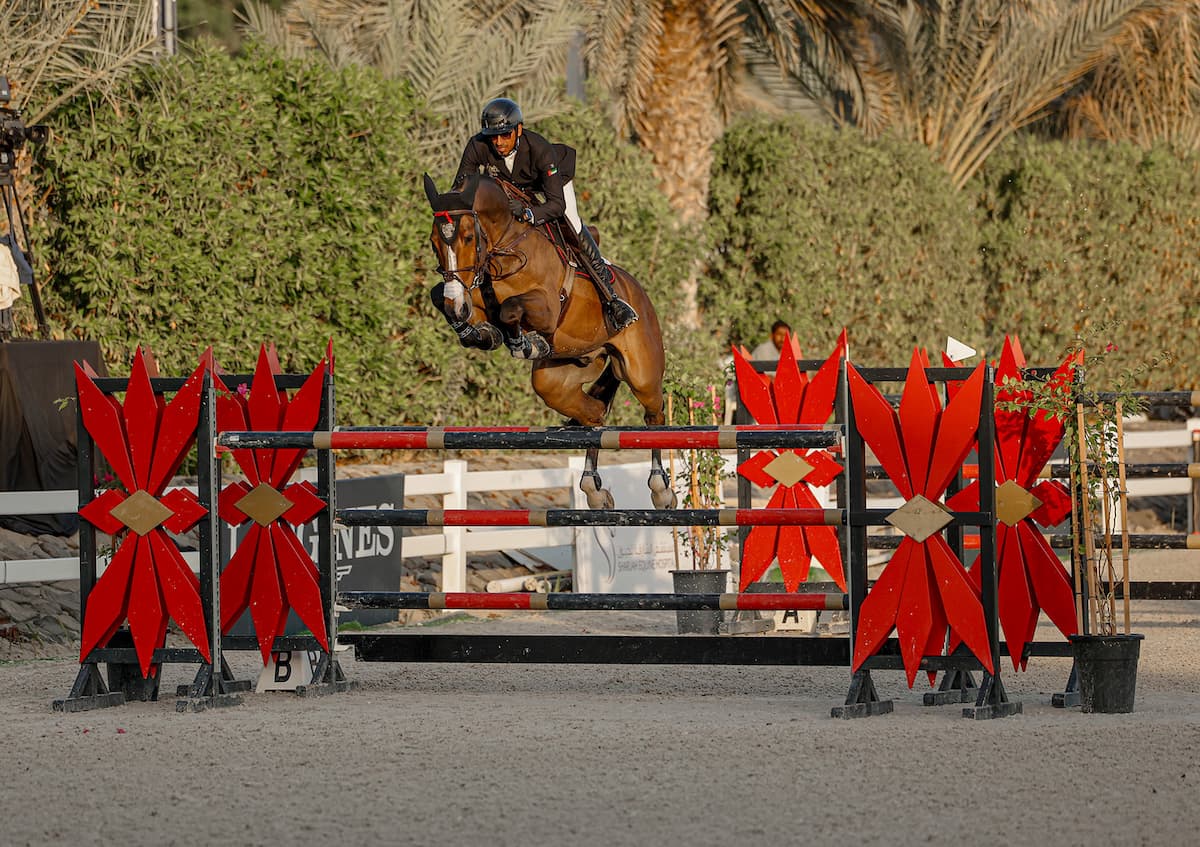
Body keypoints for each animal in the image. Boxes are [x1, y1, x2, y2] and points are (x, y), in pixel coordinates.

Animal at [427, 167, 676, 503]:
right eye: (433, 243)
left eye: (468, 237)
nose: (458, 306)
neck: (505, 242)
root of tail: (639, 292)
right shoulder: (472, 293)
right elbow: (442, 298)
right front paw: (482, 334)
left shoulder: (546, 307)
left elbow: (510, 308)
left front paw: (524, 343)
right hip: (559, 378)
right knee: (595, 414)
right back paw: (592, 487)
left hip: (641, 373)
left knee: (654, 415)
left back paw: (661, 488)